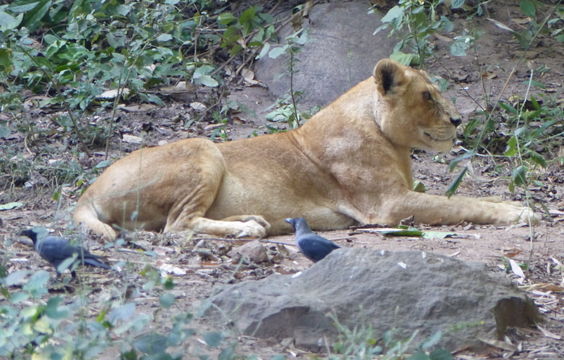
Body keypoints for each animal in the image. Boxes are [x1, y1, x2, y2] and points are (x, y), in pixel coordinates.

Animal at [75, 58, 536, 239]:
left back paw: (254, 221)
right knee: (176, 227)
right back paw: (247, 229)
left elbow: (468, 197)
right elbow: (458, 204)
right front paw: (520, 213)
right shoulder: (387, 206)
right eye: (427, 95)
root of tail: (87, 192)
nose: (458, 121)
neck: (391, 141)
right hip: (204, 148)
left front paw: (517, 203)